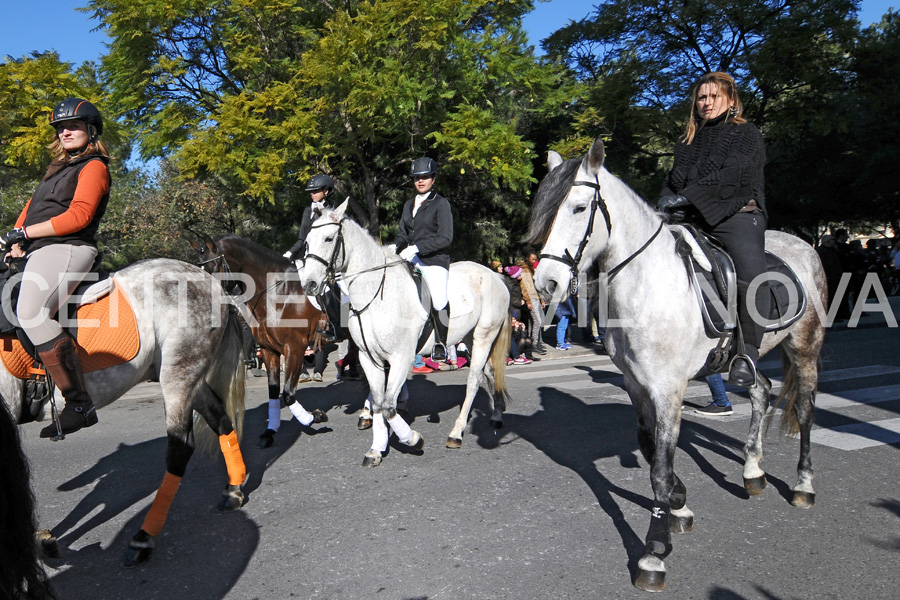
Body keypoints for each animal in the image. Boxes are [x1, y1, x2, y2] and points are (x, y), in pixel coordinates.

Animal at [0, 258, 246, 568]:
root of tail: (210, 280)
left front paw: (38, 544)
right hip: (187, 376)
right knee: (220, 419)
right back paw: (233, 489)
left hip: (177, 375)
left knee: (180, 447)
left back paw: (143, 537)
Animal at [192, 232, 328, 448]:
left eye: (212, 269)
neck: (278, 294)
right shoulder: (269, 350)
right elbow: (274, 393)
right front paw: (270, 431)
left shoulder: (294, 348)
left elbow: (288, 394)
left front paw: (314, 417)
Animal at [300, 199, 512, 466]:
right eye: (307, 241)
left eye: (329, 239)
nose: (309, 285)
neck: (375, 294)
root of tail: (494, 275)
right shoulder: (369, 358)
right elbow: (379, 401)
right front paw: (376, 448)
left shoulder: (401, 357)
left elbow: (389, 405)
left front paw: (413, 439)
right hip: (469, 338)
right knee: (489, 373)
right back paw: (497, 415)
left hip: (485, 335)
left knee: (474, 380)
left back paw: (456, 433)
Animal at [528, 139, 828, 592]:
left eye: (580, 208)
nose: (546, 284)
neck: (645, 282)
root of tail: (804, 247)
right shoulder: (636, 384)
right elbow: (651, 449)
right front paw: (680, 505)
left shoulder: (669, 388)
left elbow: (659, 467)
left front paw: (654, 552)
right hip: (748, 358)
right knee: (760, 389)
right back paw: (752, 470)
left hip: (805, 345)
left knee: (806, 410)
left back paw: (804, 485)